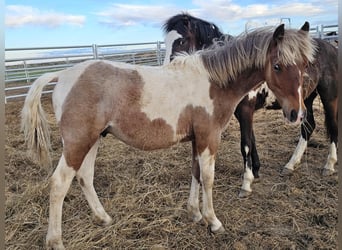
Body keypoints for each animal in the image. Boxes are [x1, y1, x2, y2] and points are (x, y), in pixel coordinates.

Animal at [21, 22, 316, 249]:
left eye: (304, 64)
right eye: (277, 66)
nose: (296, 113)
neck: (214, 82)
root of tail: (62, 74)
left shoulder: (197, 139)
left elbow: (195, 172)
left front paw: (195, 214)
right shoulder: (209, 138)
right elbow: (208, 177)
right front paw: (213, 221)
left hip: (92, 140)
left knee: (85, 177)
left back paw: (103, 218)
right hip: (77, 143)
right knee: (60, 183)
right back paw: (56, 241)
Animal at [164, 13, 340, 197]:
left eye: (181, 41)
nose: (167, 69)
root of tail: (332, 47)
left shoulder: (246, 111)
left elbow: (246, 145)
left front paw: (246, 183)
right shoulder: (243, 113)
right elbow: (252, 141)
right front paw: (255, 171)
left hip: (328, 96)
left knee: (333, 126)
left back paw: (329, 165)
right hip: (305, 100)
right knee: (308, 127)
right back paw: (291, 164)